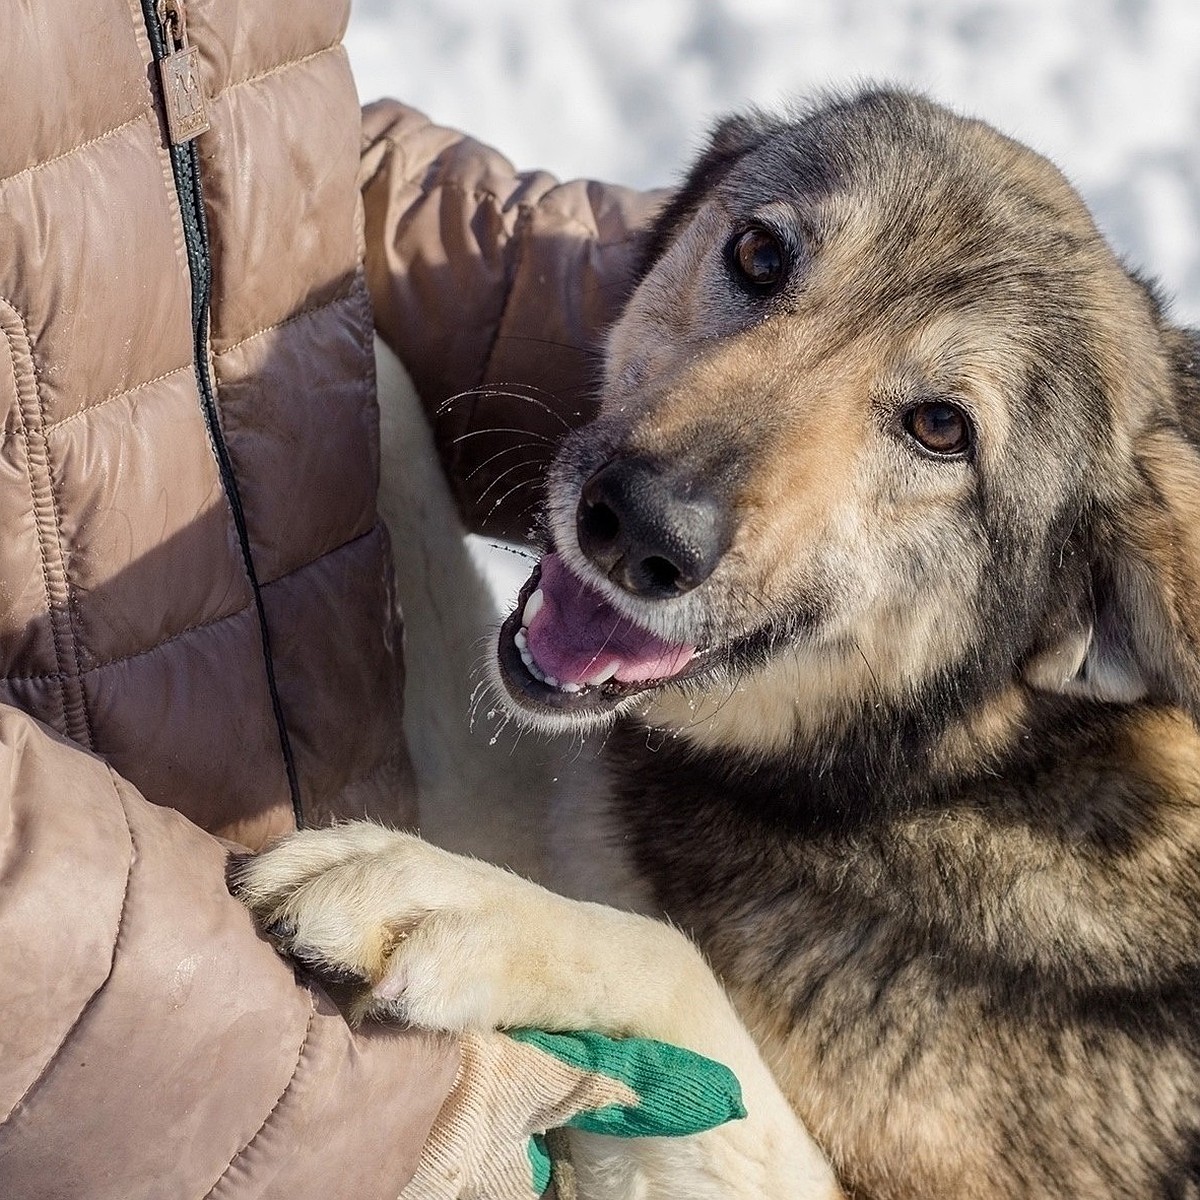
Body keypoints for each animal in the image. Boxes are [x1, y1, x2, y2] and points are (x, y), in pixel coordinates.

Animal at [234, 87, 1200, 1200]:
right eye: (759, 254)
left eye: (941, 429)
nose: (639, 526)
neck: (951, 772)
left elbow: (672, 966)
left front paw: (450, 904)